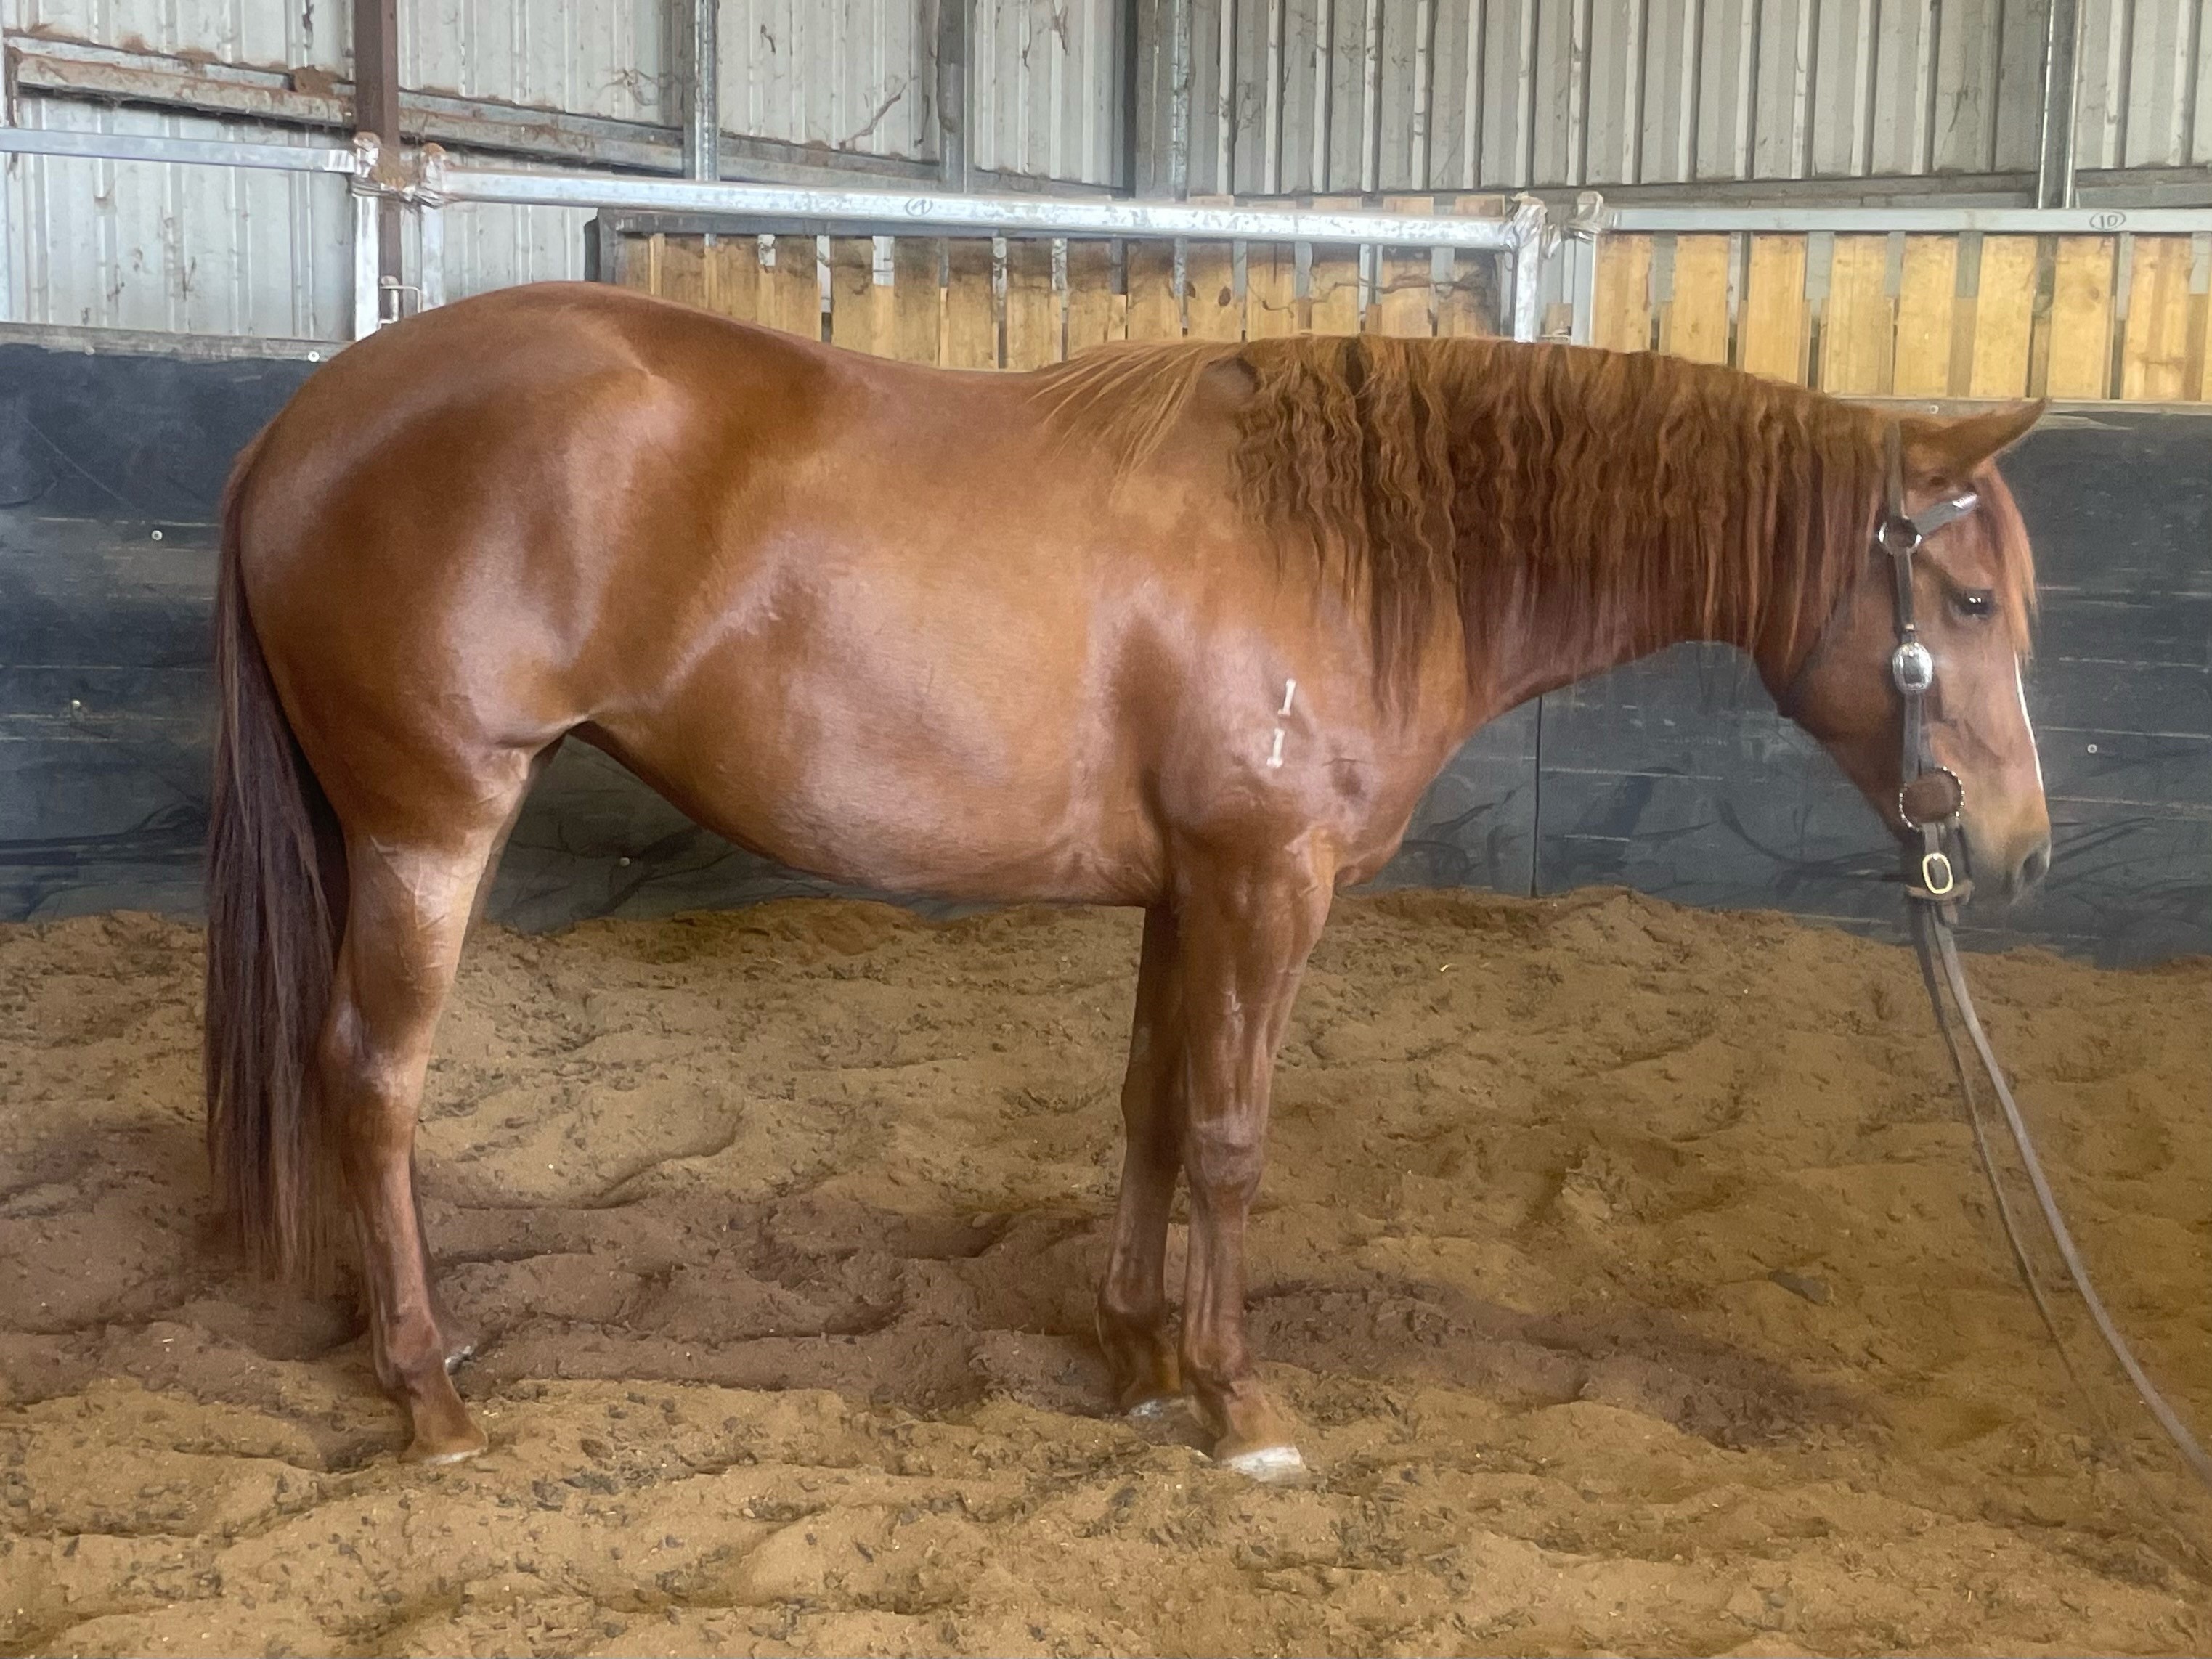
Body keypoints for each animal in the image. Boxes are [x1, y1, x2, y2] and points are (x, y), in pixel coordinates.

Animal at [204, 282, 2049, 1472]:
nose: (2016, 851)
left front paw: (1140, 1355)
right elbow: (1232, 1134)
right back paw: (431, 1394)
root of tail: (297, 424)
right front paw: (1239, 1401)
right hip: (432, 824)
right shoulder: (1266, 881)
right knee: (372, 1080)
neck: (1352, 542)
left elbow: (1154, 1109)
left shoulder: (1187, 892)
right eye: (1964, 602)